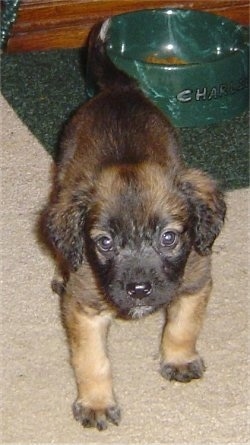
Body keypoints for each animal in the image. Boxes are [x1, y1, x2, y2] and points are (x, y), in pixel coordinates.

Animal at [42, 21, 227, 430]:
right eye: (105, 243)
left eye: (169, 238)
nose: (139, 290)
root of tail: (119, 89)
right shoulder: (84, 307)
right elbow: (92, 361)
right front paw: (96, 403)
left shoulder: (195, 279)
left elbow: (182, 326)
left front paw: (178, 359)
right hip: (62, 180)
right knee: (63, 246)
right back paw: (62, 271)